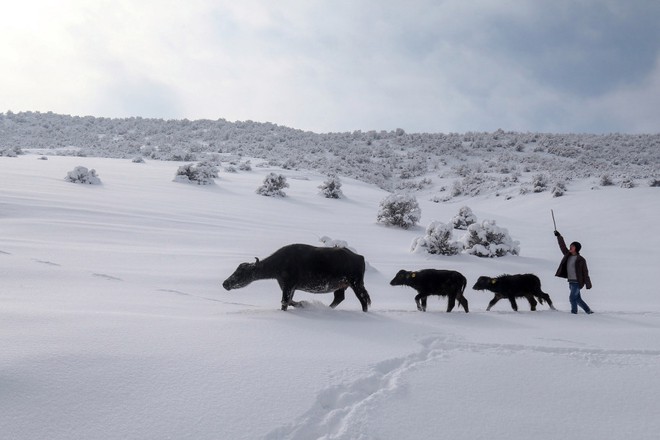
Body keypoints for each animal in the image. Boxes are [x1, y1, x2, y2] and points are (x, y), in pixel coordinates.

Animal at [222, 244, 372, 312]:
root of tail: (360, 257)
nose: (225, 283)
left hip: (356, 284)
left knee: (363, 300)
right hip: (341, 287)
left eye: (241, 272)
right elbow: (290, 301)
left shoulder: (288, 286)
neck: (279, 264)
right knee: (339, 298)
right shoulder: (290, 287)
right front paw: (303, 304)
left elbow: (284, 302)